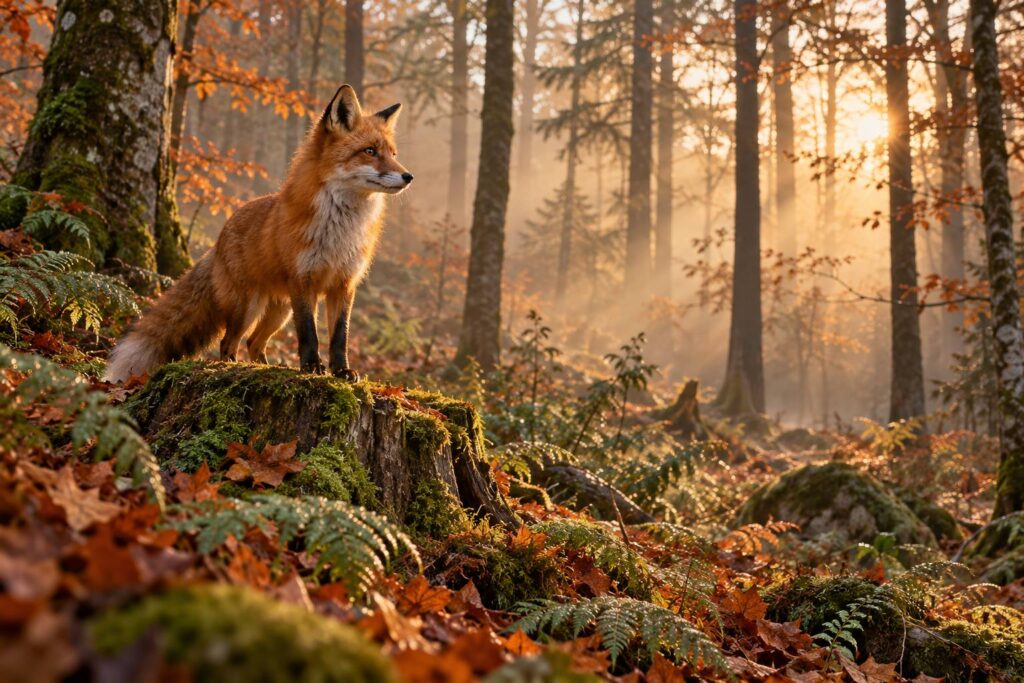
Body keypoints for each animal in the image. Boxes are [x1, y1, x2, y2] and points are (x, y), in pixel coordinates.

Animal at [104, 85, 412, 383]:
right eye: (370, 151)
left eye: (394, 154)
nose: (409, 177)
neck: (340, 229)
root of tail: (217, 241)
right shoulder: (303, 281)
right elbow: (309, 334)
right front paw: (312, 367)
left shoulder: (344, 284)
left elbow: (340, 336)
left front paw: (342, 371)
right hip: (249, 307)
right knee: (229, 342)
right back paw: (233, 366)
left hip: (279, 311)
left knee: (254, 342)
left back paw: (267, 368)